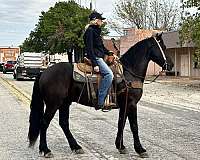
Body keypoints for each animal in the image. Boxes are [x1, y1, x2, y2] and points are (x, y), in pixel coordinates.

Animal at [28, 33, 173, 158]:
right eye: (164, 47)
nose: (171, 65)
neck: (128, 72)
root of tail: (44, 72)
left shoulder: (124, 105)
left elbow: (121, 123)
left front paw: (120, 146)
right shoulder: (132, 104)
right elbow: (134, 126)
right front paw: (140, 149)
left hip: (65, 103)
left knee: (64, 123)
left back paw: (76, 147)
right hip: (53, 104)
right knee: (44, 123)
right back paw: (45, 150)